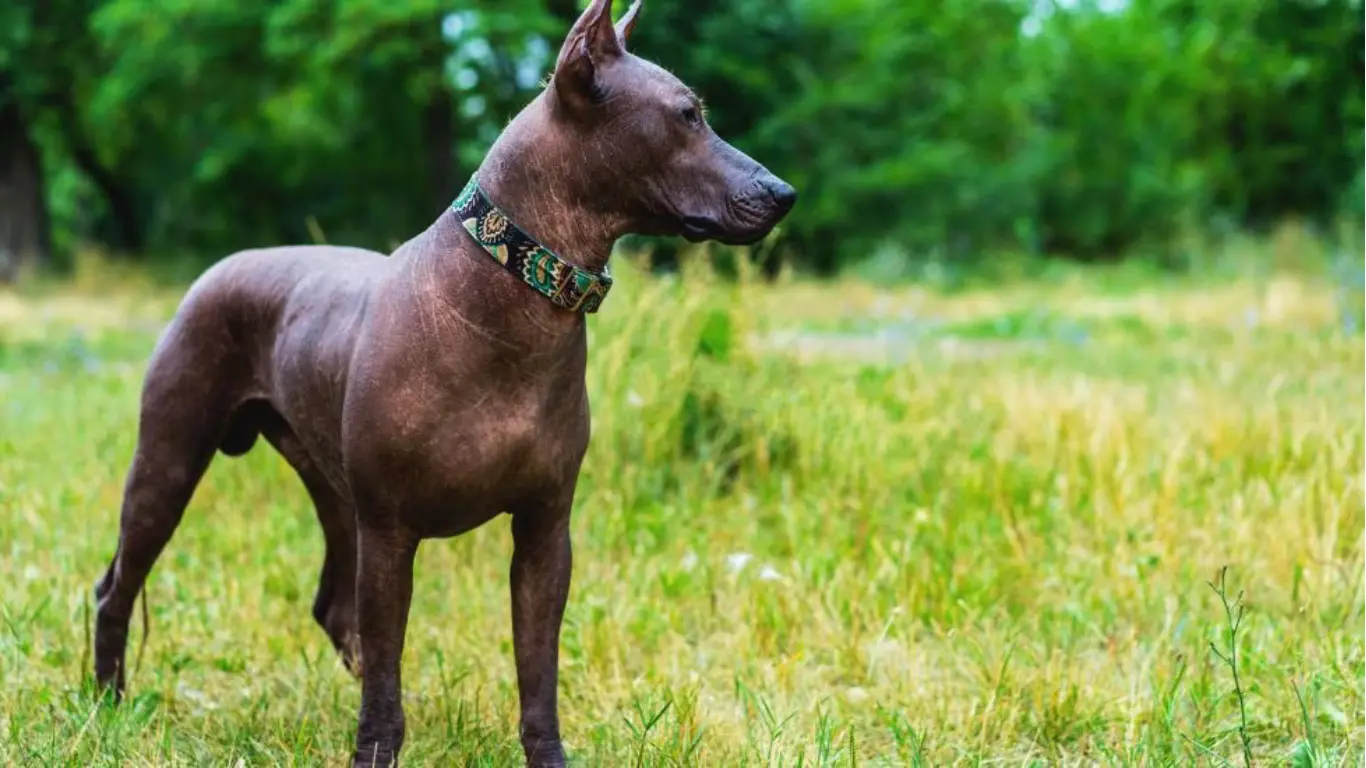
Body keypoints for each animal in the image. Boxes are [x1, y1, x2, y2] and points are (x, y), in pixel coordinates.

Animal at [90, 2, 797, 759]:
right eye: (688, 115)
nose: (783, 193)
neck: (515, 294)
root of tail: (220, 267)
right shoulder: (391, 533)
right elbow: (390, 664)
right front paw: (375, 752)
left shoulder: (545, 534)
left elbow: (537, 674)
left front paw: (546, 757)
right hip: (171, 461)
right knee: (117, 586)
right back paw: (108, 703)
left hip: (334, 494)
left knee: (336, 612)